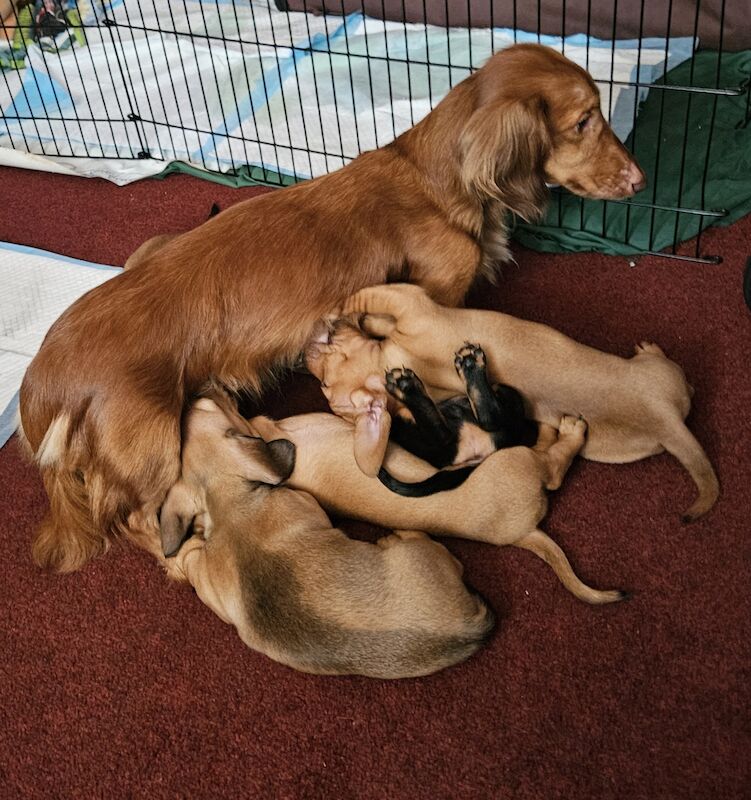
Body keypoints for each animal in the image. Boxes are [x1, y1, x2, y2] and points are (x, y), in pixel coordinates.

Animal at [17, 43, 648, 572]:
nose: (641, 180)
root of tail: (42, 386)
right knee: (138, 524)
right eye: (583, 121)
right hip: (152, 451)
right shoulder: (438, 298)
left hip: (147, 250)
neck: (432, 179)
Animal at [160, 390, 494, 680]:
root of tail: (471, 629)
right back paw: (395, 536)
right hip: (425, 553)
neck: (232, 506)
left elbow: (190, 556)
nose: (205, 390)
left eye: (202, 407)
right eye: (210, 405)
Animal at [308, 284, 720, 520]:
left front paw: (347, 313)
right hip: (637, 409)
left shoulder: (407, 304)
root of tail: (667, 419)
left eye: (324, 382)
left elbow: (369, 302)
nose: (306, 357)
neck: (386, 359)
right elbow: (368, 296)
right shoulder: (408, 304)